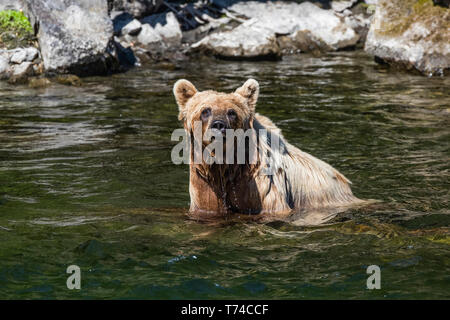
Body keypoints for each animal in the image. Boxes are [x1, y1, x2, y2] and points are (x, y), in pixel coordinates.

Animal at [172, 78, 362, 219]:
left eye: (232, 112)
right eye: (205, 110)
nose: (219, 125)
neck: (227, 166)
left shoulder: (260, 184)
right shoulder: (204, 183)